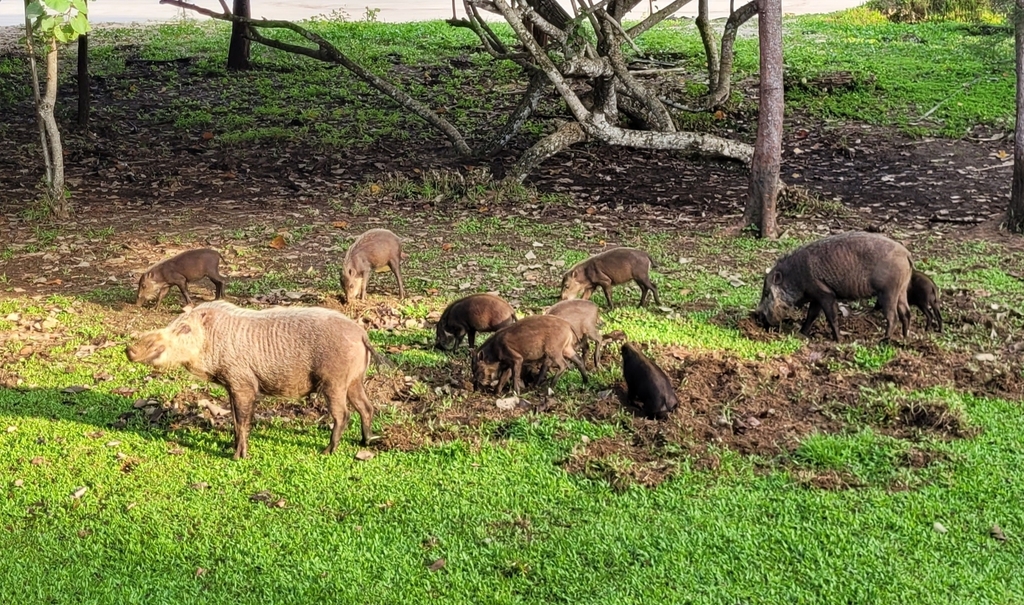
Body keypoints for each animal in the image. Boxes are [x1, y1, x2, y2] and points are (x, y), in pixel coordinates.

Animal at [124, 300, 380, 460]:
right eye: (172, 324)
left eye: (185, 328)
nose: (129, 349)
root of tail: (362, 334)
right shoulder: (231, 384)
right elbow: (235, 419)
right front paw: (230, 446)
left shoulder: (243, 383)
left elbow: (242, 421)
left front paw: (237, 457)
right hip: (354, 380)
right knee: (367, 407)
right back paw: (365, 442)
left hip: (334, 381)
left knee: (343, 414)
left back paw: (327, 451)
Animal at [753, 232, 913, 343]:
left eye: (766, 293)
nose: (756, 315)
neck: (797, 276)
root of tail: (907, 254)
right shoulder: (816, 297)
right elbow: (811, 315)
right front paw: (802, 333)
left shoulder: (825, 293)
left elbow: (831, 316)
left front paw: (838, 341)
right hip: (901, 290)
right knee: (906, 313)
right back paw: (904, 338)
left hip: (889, 292)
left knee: (893, 316)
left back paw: (884, 341)